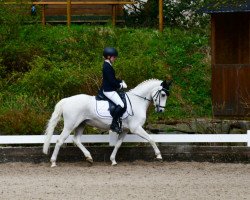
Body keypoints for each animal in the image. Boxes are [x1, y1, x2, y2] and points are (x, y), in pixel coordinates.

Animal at [43, 79, 172, 166]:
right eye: (163, 94)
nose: (161, 110)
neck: (137, 101)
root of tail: (67, 100)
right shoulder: (136, 128)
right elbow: (151, 139)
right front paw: (159, 155)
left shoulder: (125, 130)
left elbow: (118, 144)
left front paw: (113, 160)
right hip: (70, 125)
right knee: (60, 141)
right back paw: (53, 162)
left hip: (81, 124)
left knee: (76, 140)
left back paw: (89, 157)